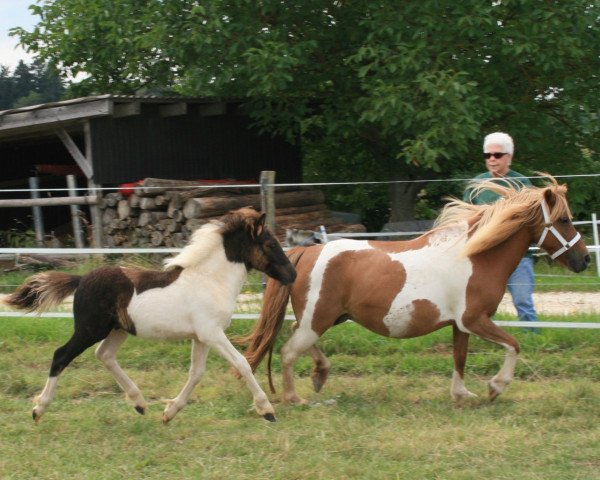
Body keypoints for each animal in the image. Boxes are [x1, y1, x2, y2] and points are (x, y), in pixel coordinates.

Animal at [4, 207, 296, 424]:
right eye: (270, 243)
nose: (291, 274)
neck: (209, 279)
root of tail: (81, 279)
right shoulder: (212, 333)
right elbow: (242, 363)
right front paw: (267, 410)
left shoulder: (201, 337)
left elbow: (196, 372)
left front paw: (169, 413)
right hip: (90, 329)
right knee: (61, 356)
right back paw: (39, 409)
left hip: (118, 330)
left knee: (104, 355)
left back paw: (140, 403)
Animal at [240, 178, 592, 404]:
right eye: (563, 219)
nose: (585, 259)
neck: (475, 256)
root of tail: (307, 252)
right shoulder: (475, 320)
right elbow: (513, 345)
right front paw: (495, 387)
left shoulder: (460, 325)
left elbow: (460, 358)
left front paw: (462, 395)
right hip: (319, 318)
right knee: (289, 351)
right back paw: (294, 397)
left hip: (327, 318)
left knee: (296, 340)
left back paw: (319, 376)